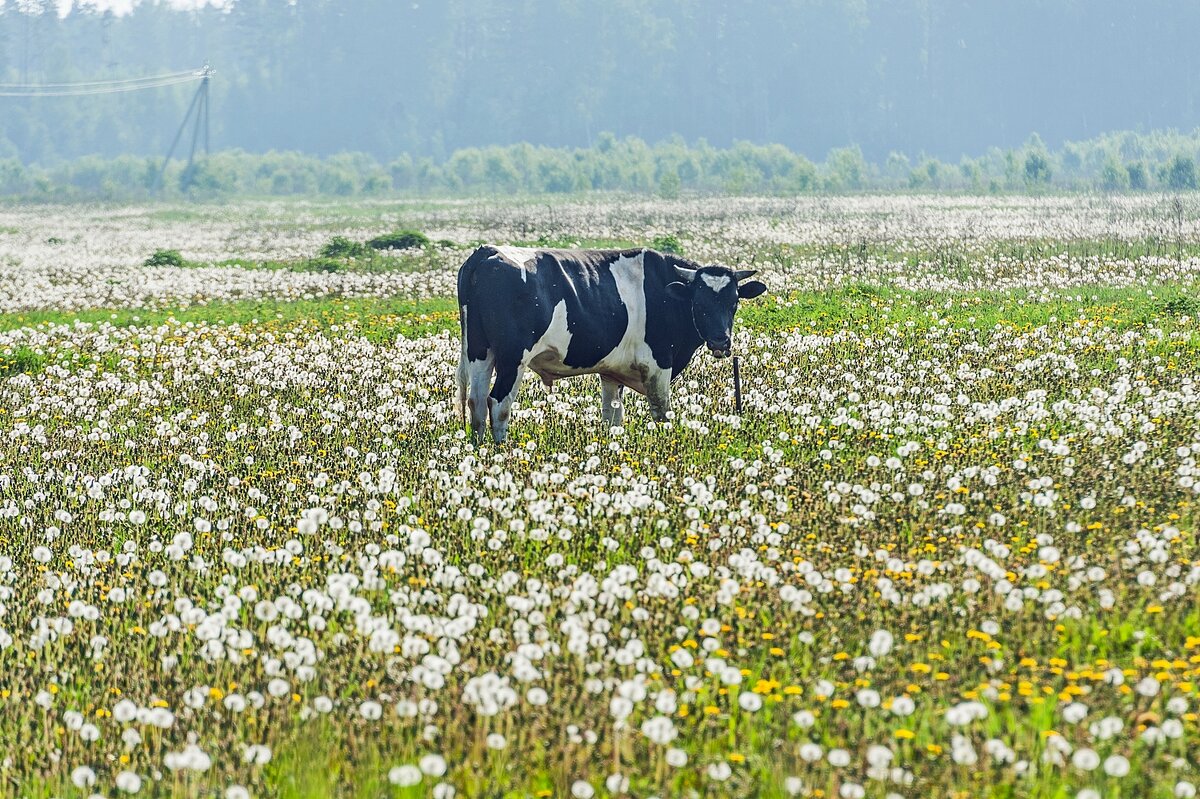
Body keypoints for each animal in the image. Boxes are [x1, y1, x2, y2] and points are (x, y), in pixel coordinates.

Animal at [451, 244, 768, 441]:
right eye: (699, 303)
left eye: (734, 302)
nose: (721, 341)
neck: (665, 292)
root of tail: (486, 251)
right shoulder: (658, 366)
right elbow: (661, 413)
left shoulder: (612, 373)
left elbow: (612, 417)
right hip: (513, 358)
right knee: (498, 403)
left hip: (480, 352)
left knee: (476, 402)